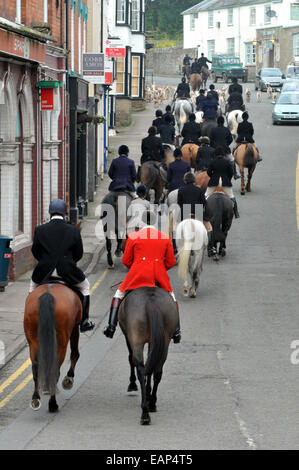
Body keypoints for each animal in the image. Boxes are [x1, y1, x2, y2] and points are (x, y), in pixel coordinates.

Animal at [23, 282, 82, 412]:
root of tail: (48, 294)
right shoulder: (75, 327)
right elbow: (75, 354)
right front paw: (69, 379)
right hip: (61, 344)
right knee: (55, 370)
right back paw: (53, 404)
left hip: (33, 341)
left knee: (36, 367)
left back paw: (36, 398)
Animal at [118, 286, 178, 426]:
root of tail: (150, 300)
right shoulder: (154, 341)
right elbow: (150, 367)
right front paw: (148, 391)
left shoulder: (129, 338)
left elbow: (131, 360)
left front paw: (133, 384)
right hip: (165, 341)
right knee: (157, 371)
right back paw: (151, 403)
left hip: (136, 340)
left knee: (140, 367)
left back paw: (145, 411)